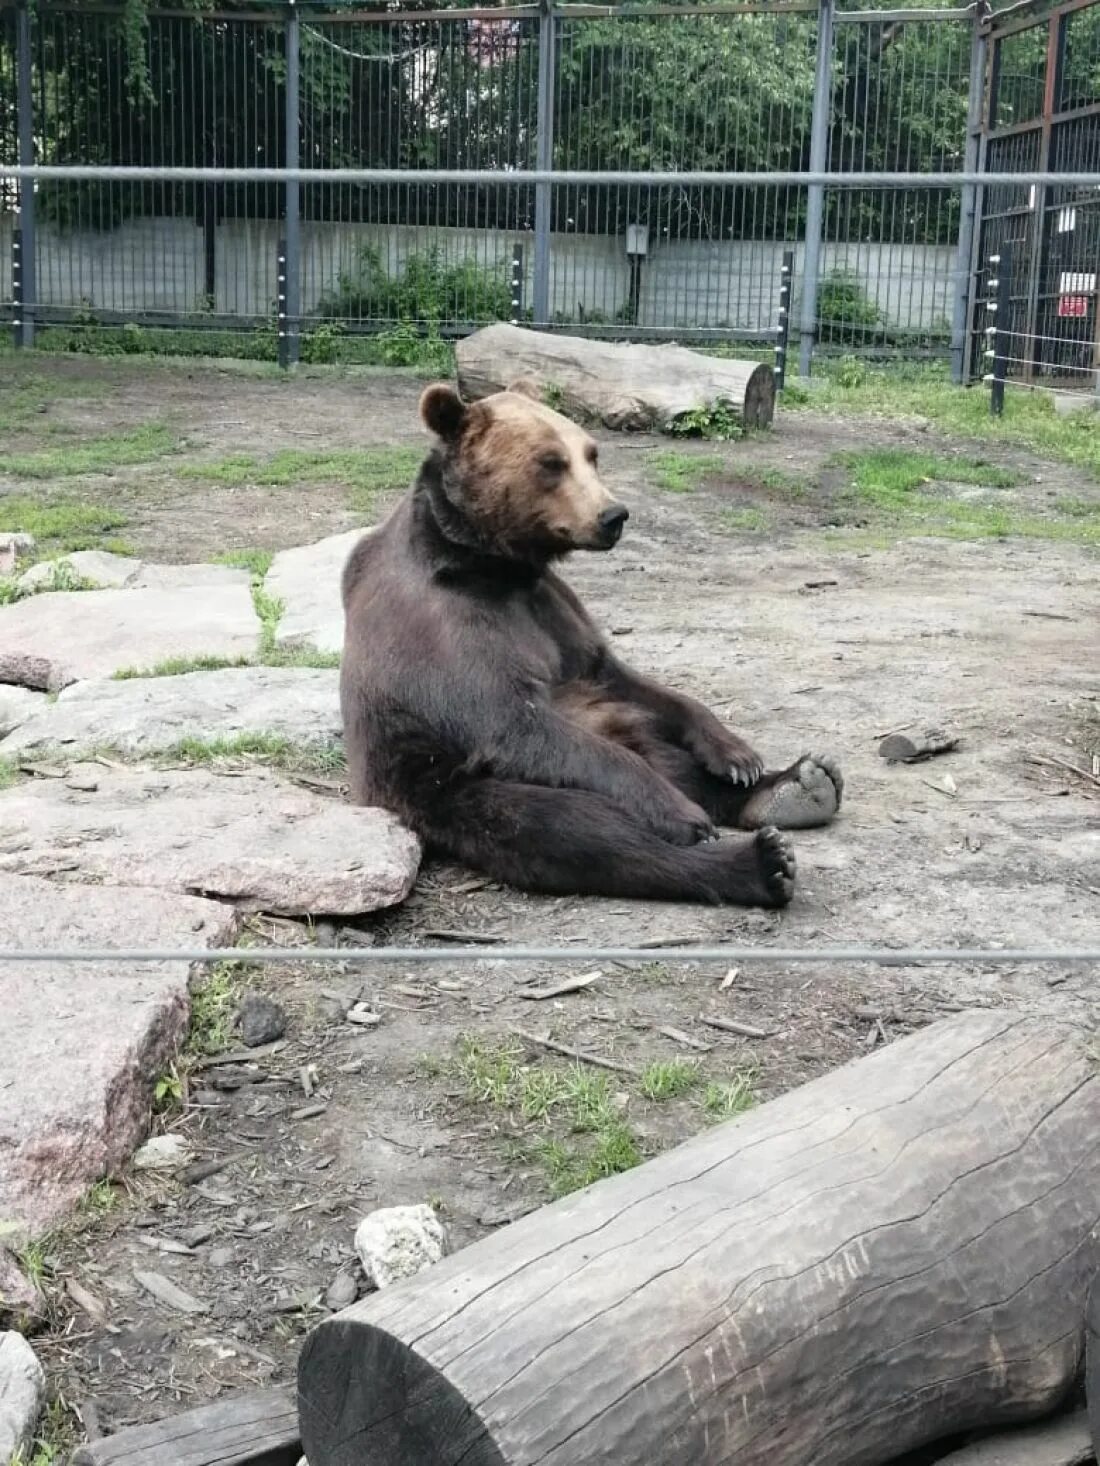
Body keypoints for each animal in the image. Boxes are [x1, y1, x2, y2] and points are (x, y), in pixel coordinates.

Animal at [340, 378, 850, 903]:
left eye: (592, 453)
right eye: (550, 461)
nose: (613, 514)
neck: (494, 565)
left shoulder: (553, 611)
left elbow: (621, 675)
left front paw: (737, 755)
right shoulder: (443, 628)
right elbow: (509, 721)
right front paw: (678, 811)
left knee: (665, 759)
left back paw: (799, 785)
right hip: (449, 787)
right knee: (576, 829)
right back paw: (755, 857)